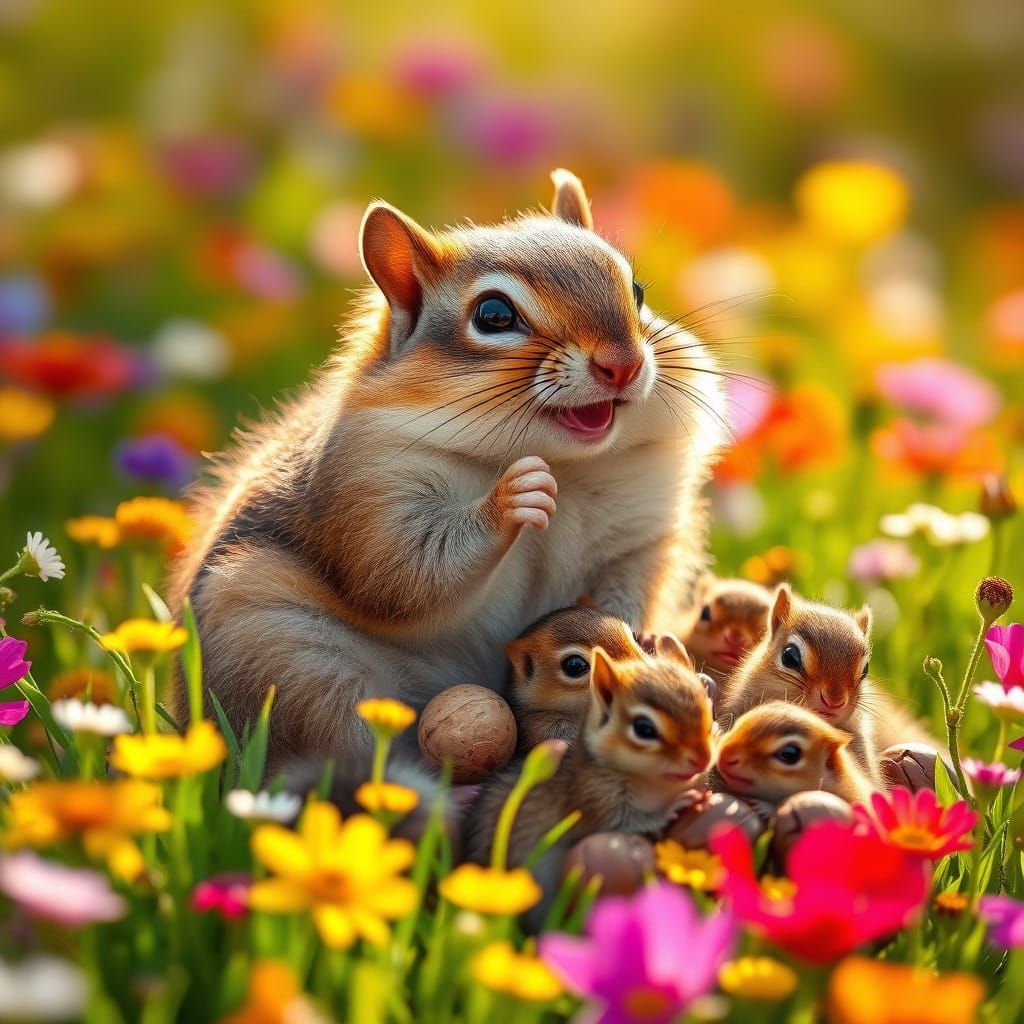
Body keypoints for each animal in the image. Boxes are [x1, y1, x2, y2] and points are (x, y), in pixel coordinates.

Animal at [464, 635, 715, 877]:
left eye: (709, 711)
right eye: (644, 729)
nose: (703, 760)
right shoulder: (594, 799)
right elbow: (624, 823)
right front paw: (672, 807)